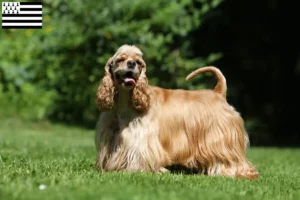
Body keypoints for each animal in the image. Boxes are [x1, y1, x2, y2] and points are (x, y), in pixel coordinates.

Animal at [94, 45, 258, 178]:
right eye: (120, 59)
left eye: (139, 62)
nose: (131, 63)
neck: (125, 101)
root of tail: (218, 93)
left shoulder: (142, 139)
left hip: (222, 140)